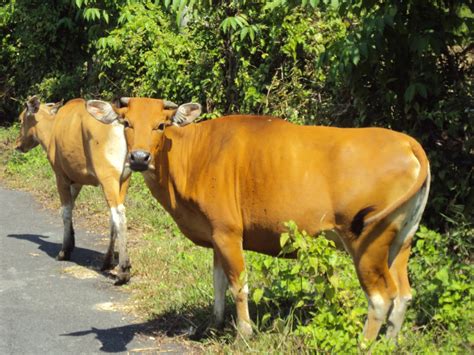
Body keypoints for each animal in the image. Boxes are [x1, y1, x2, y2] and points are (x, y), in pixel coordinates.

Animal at [87, 96, 432, 340]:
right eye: (126, 122)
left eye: (161, 125)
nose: (139, 158)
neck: (195, 155)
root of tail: (408, 143)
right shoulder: (216, 234)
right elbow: (218, 281)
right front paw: (213, 325)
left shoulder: (228, 232)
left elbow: (239, 284)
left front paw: (245, 332)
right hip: (401, 240)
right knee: (404, 294)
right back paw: (389, 342)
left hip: (367, 244)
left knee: (381, 297)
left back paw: (365, 344)